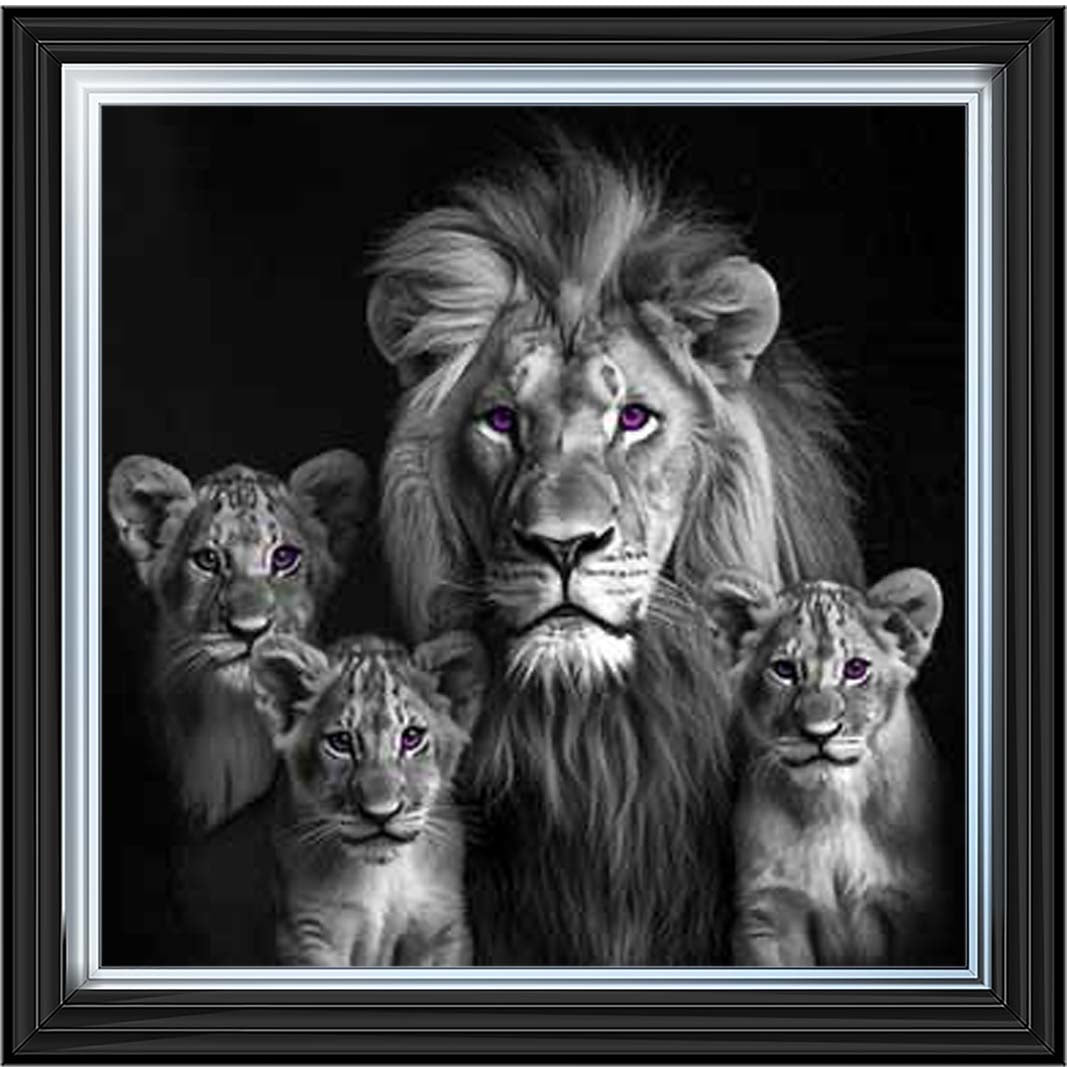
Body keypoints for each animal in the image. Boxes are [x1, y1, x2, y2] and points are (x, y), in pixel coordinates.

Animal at [250, 631, 485, 966]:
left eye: (411, 737)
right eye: (340, 742)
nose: (381, 814)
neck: (382, 875)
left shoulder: (442, 928)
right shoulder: (308, 934)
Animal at [704, 568, 946, 966]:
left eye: (856, 669)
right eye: (784, 670)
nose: (820, 733)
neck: (833, 804)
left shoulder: (915, 908)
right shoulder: (769, 912)